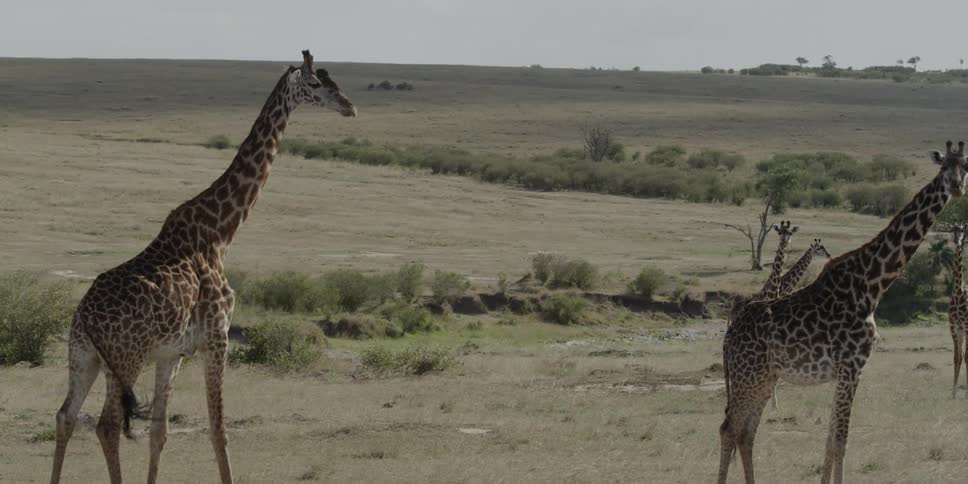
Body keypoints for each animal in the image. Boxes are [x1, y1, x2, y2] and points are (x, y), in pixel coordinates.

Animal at [49, 50, 356, 484]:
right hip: (125, 358)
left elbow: (160, 431)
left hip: (83, 356)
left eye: (335, 80)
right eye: (315, 84)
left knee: (66, 416)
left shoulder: (171, 354)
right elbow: (218, 428)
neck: (221, 232)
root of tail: (85, 318)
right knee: (106, 425)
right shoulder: (217, 336)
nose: (349, 106)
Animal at [718, 140, 968, 484]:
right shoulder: (852, 366)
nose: (957, 187)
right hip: (748, 376)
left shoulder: (844, 371)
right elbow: (840, 441)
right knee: (729, 428)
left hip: (764, 377)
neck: (873, 284)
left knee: (746, 431)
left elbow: (830, 440)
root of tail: (729, 336)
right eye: (944, 166)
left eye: (965, 166)